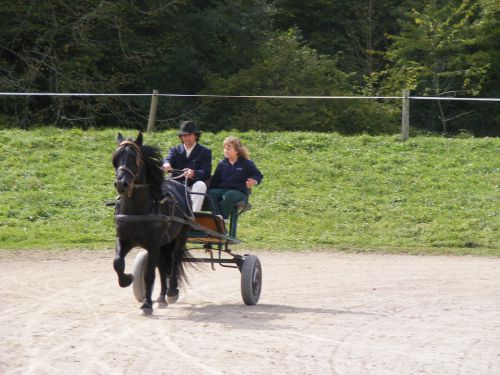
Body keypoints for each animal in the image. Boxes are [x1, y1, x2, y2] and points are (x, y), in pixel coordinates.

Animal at [112, 131, 192, 314]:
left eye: (134, 158)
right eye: (115, 158)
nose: (121, 184)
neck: (137, 210)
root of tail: (179, 183)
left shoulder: (153, 243)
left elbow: (149, 274)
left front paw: (147, 304)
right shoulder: (124, 239)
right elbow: (118, 262)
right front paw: (127, 279)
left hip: (180, 235)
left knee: (175, 260)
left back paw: (171, 292)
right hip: (164, 243)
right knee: (162, 266)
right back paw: (161, 297)